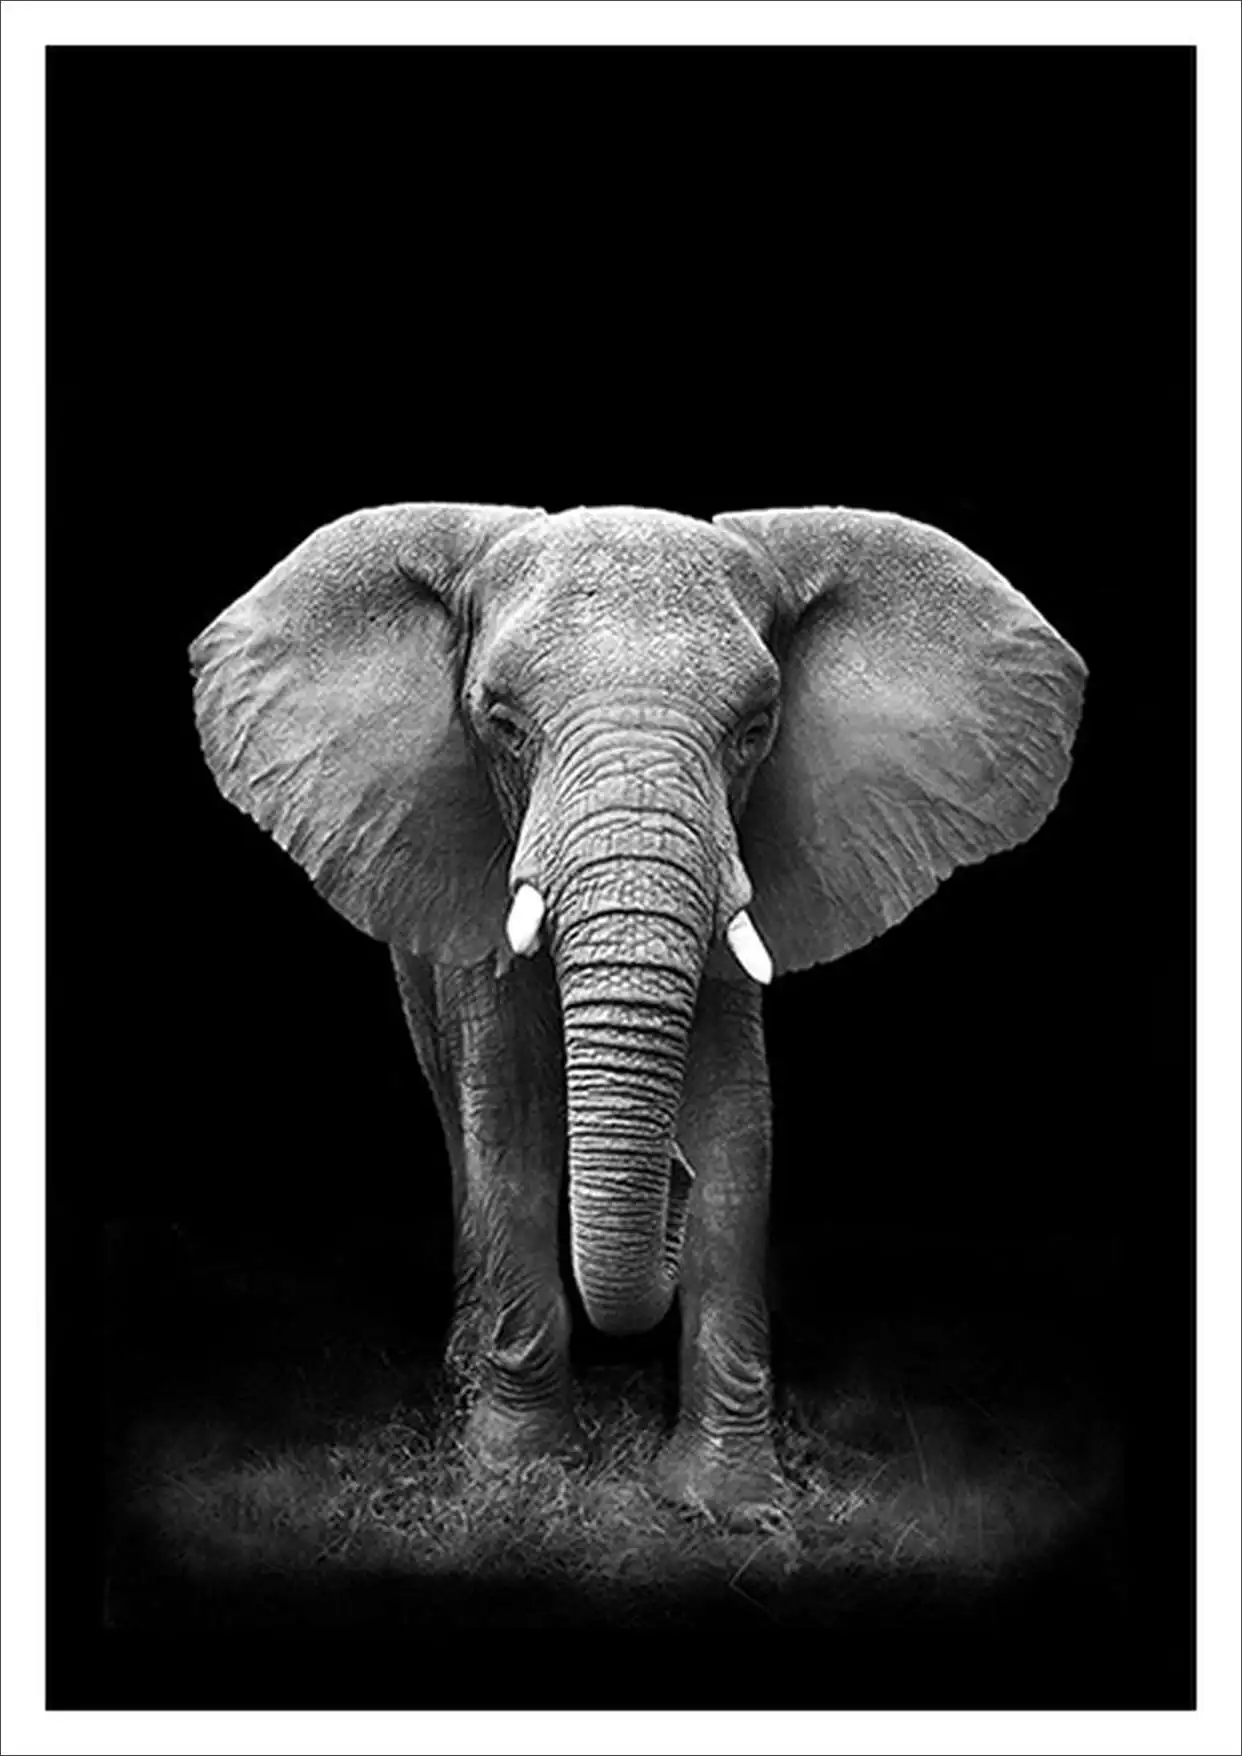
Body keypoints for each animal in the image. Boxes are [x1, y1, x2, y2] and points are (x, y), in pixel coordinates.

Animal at [189, 501, 1086, 1517]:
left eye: (755, 728)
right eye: (501, 723)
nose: (671, 1181)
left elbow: (739, 1127)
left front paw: (728, 1504)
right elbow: (510, 1122)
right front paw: (520, 1476)